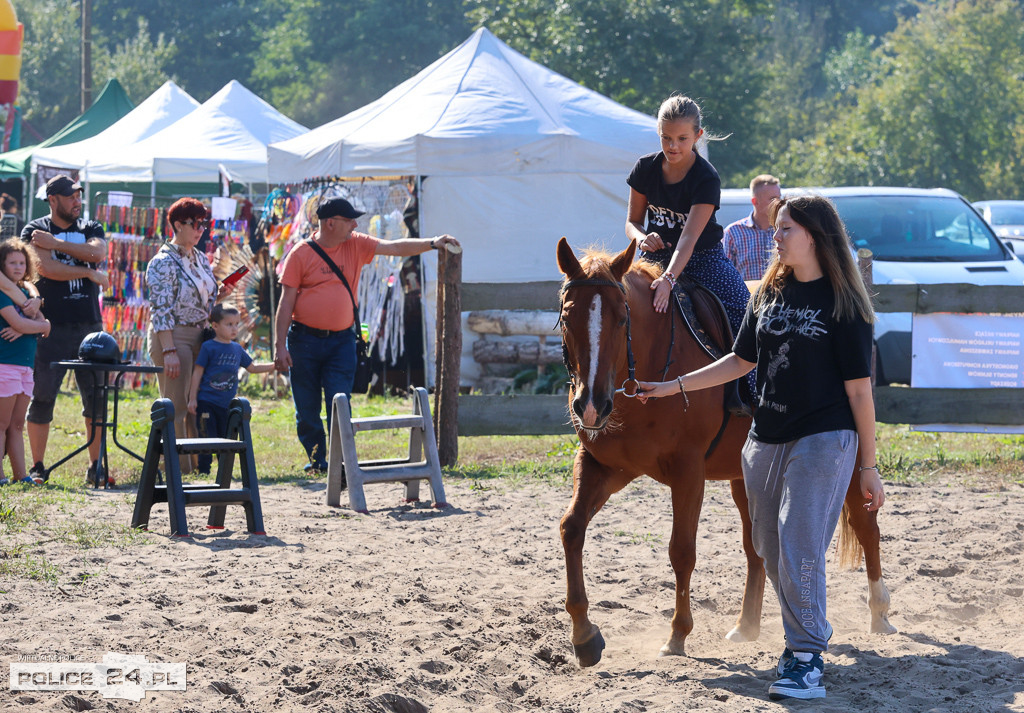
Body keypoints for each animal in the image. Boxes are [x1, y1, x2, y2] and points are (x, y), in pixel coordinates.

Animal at [557, 239, 892, 667]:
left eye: (620, 318)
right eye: (568, 317)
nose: (590, 406)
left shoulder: (688, 472)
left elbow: (681, 551)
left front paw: (677, 635)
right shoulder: (603, 466)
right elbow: (571, 528)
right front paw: (584, 636)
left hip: (852, 466)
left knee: (867, 530)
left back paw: (879, 613)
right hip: (744, 477)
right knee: (756, 549)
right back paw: (746, 625)